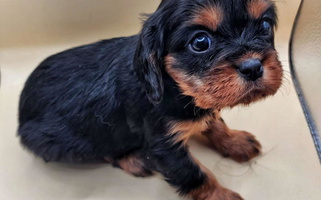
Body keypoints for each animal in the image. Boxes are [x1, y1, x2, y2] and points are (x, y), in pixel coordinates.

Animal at [18, 0, 282, 199]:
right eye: (200, 42)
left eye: (265, 25)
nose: (253, 67)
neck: (174, 87)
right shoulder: (163, 145)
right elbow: (195, 174)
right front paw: (220, 195)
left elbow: (214, 121)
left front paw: (234, 141)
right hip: (63, 142)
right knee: (103, 149)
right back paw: (132, 159)